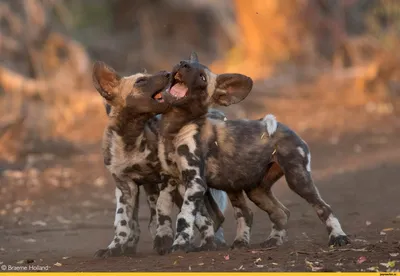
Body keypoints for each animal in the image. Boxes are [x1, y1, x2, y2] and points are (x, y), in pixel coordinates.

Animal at [91, 61, 228, 258]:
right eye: (140, 81)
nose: (166, 73)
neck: (131, 138)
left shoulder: (167, 177)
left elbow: (162, 209)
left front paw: (163, 239)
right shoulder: (125, 187)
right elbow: (122, 222)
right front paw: (115, 247)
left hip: (185, 187)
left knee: (208, 217)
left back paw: (206, 244)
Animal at [155, 52, 348, 253]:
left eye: (202, 77)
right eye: (184, 61)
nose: (183, 64)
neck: (174, 128)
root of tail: (287, 128)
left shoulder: (195, 183)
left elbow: (184, 217)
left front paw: (179, 245)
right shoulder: (173, 180)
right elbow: (170, 211)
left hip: (297, 179)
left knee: (323, 208)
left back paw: (338, 237)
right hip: (253, 189)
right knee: (275, 213)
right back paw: (267, 240)